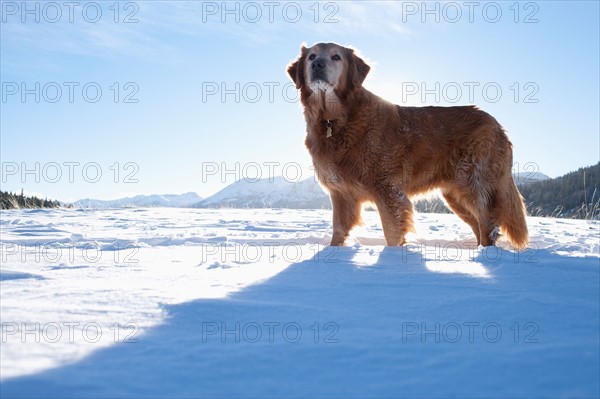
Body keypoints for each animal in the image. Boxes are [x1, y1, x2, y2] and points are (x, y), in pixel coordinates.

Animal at [288, 43, 528, 250]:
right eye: (311, 56)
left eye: (336, 57)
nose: (318, 65)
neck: (334, 120)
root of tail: (497, 124)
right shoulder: (341, 194)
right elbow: (338, 230)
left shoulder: (387, 190)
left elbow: (392, 233)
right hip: (455, 195)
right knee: (479, 225)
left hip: (473, 183)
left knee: (488, 222)